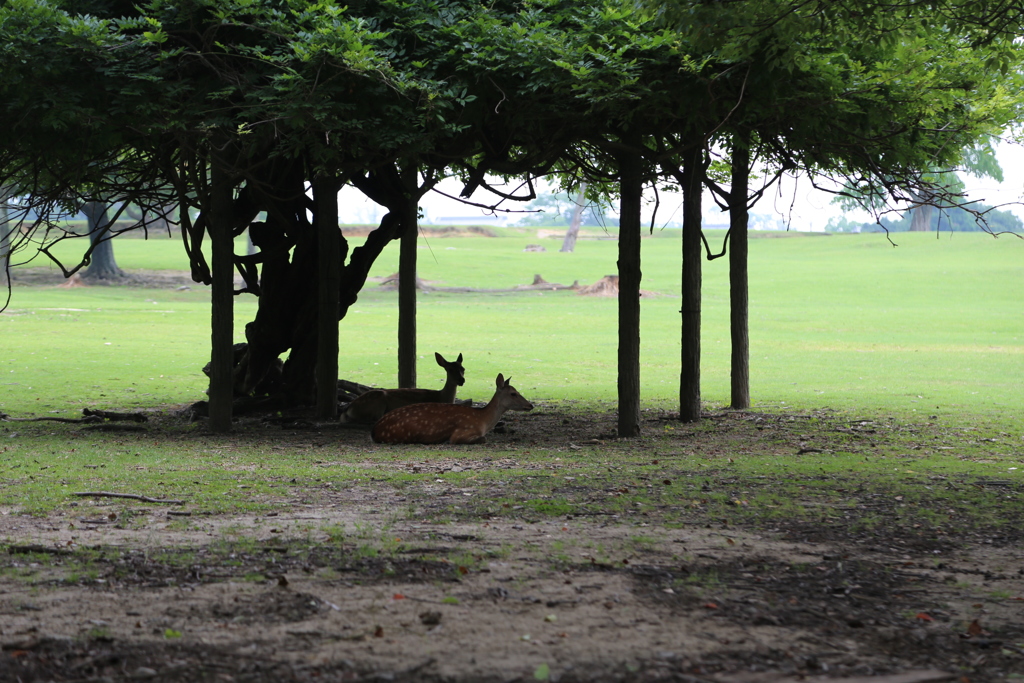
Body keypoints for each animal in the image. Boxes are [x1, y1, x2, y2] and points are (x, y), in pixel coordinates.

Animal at [337, 356, 466, 423]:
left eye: (463, 368)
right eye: (450, 369)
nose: (462, 380)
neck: (441, 397)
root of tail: (348, 408)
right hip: (377, 402)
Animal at [374, 370, 536, 446]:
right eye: (513, 393)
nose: (530, 405)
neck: (482, 420)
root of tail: (376, 429)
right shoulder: (462, 431)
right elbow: (483, 439)